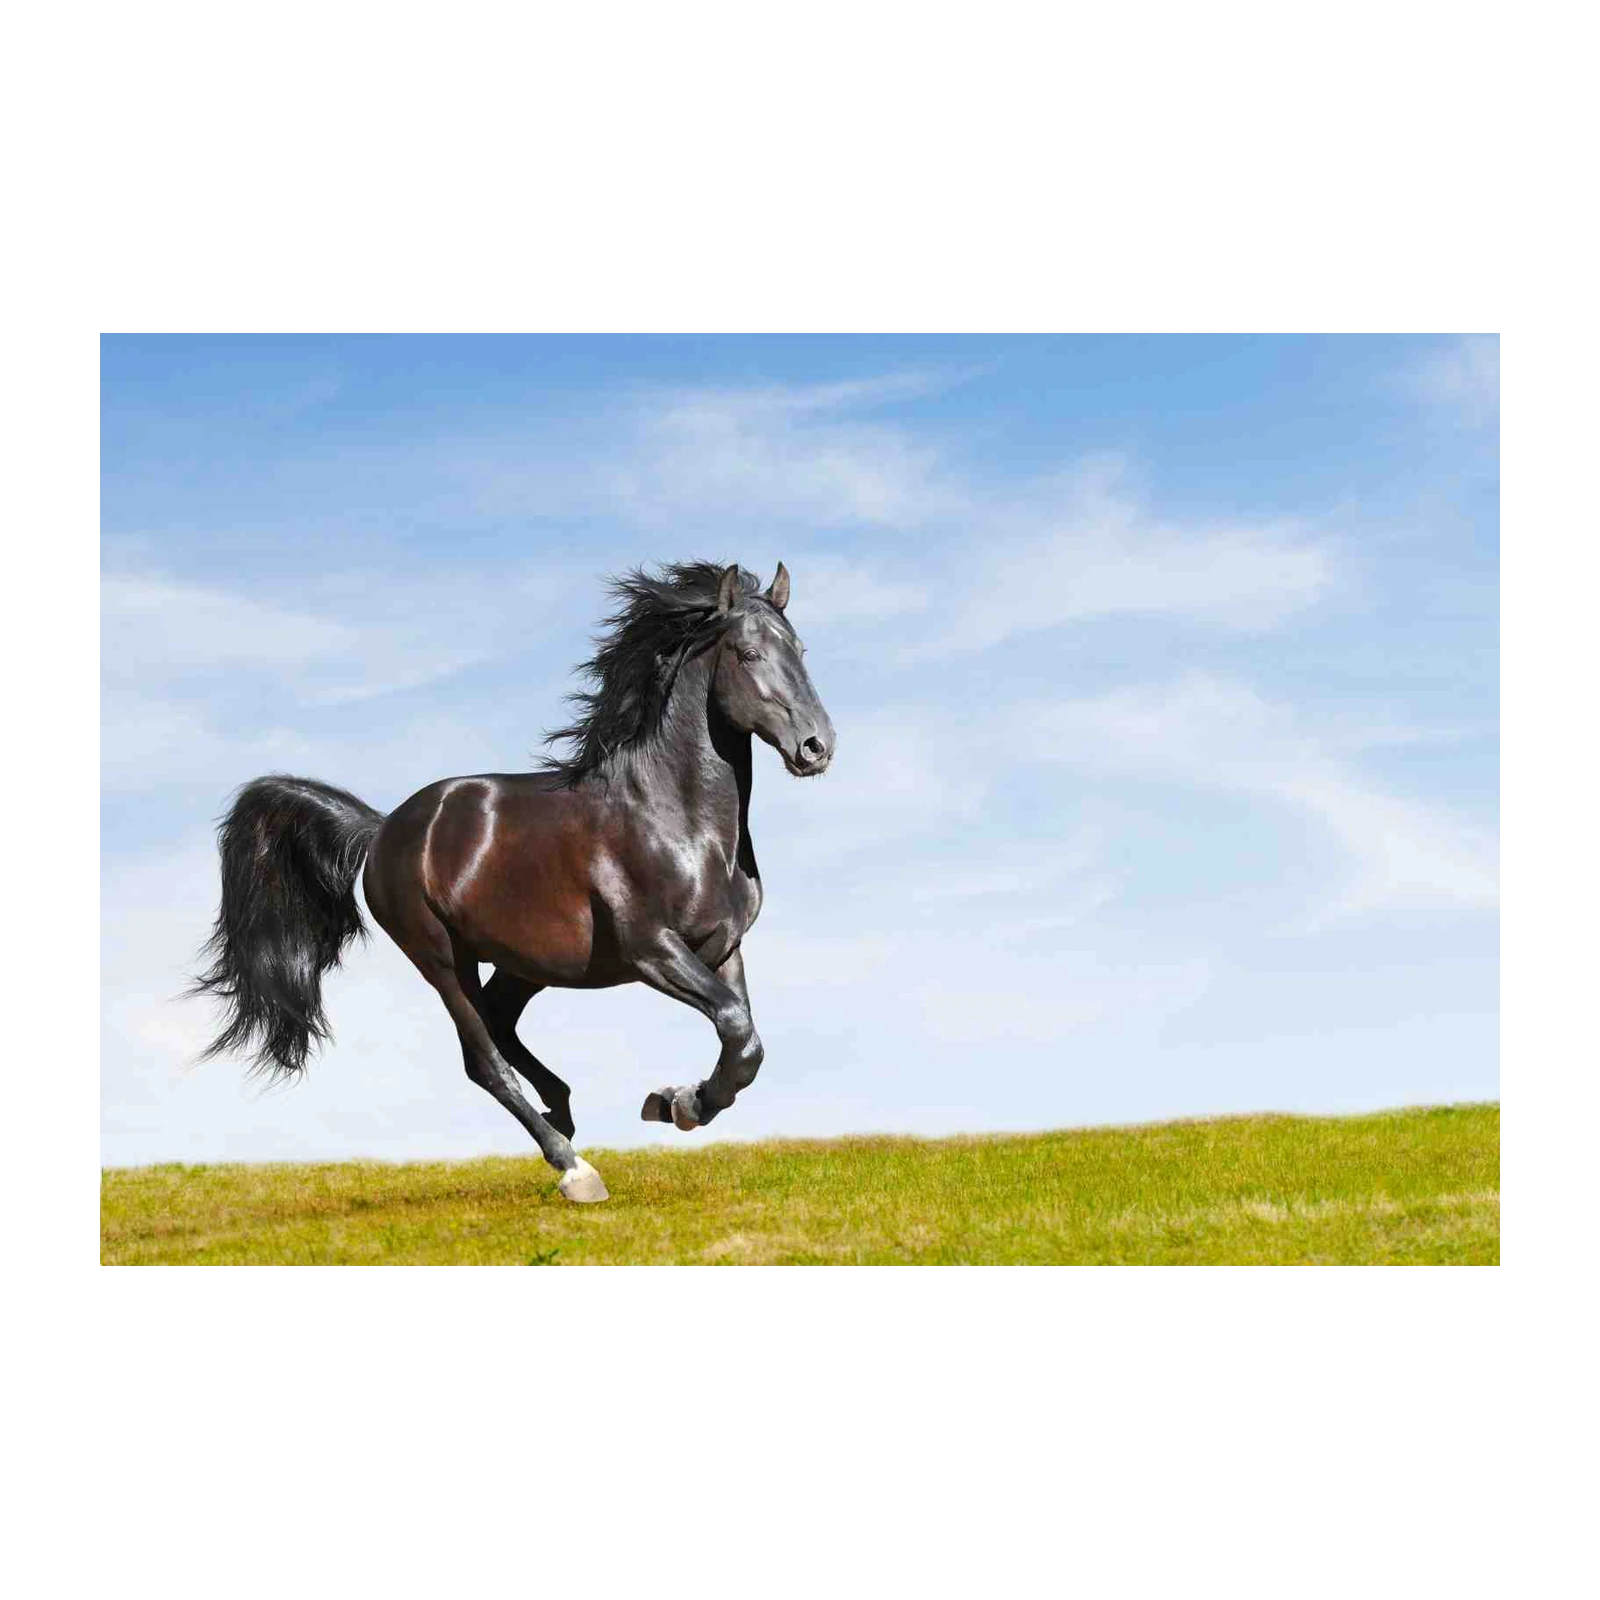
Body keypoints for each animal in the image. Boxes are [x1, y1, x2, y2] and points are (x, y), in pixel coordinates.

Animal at [190, 560, 835, 1203]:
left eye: (800, 649)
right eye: (749, 653)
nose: (816, 747)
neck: (676, 823)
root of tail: (382, 830)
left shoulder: (722, 947)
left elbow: (744, 1043)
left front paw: (676, 1100)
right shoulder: (652, 949)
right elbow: (736, 1027)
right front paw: (677, 1103)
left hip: (525, 962)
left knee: (501, 1026)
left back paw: (562, 1116)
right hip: (442, 958)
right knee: (483, 1059)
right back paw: (573, 1167)